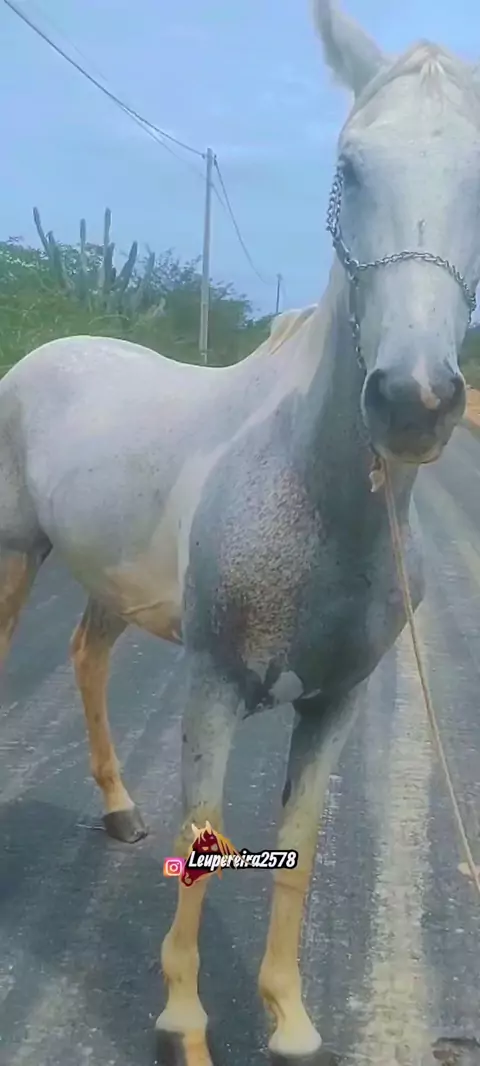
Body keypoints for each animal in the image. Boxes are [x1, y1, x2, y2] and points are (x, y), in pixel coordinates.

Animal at [0, 0, 479, 1061]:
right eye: (349, 165)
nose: (414, 401)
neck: (316, 498)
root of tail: (47, 351)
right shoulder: (215, 685)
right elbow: (207, 839)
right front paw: (184, 1021)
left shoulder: (335, 703)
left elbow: (296, 847)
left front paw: (289, 1016)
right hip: (16, 554)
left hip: (110, 580)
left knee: (88, 656)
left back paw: (118, 809)